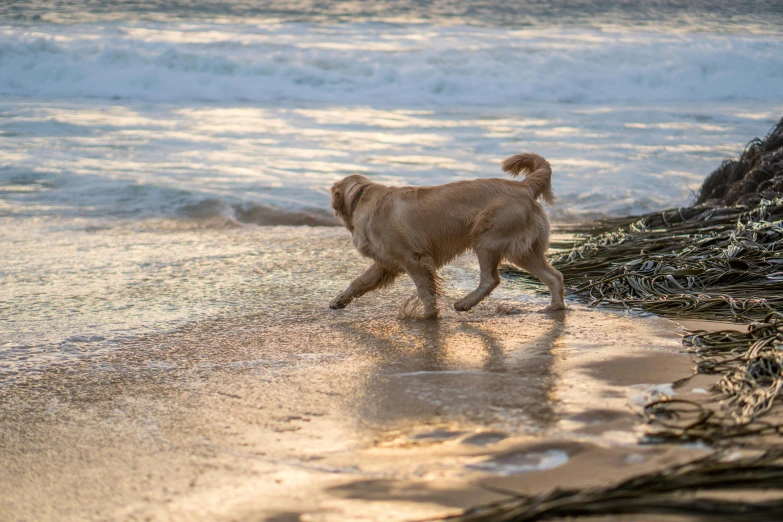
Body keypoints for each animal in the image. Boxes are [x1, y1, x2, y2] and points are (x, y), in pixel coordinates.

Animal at [328, 151, 568, 316]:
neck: (362, 197)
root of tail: (525, 186)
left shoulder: (412, 258)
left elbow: (424, 289)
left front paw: (428, 314)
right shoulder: (386, 262)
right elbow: (359, 281)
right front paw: (339, 300)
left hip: (487, 238)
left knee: (491, 279)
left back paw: (463, 303)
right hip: (523, 249)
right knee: (555, 276)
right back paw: (555, 306)